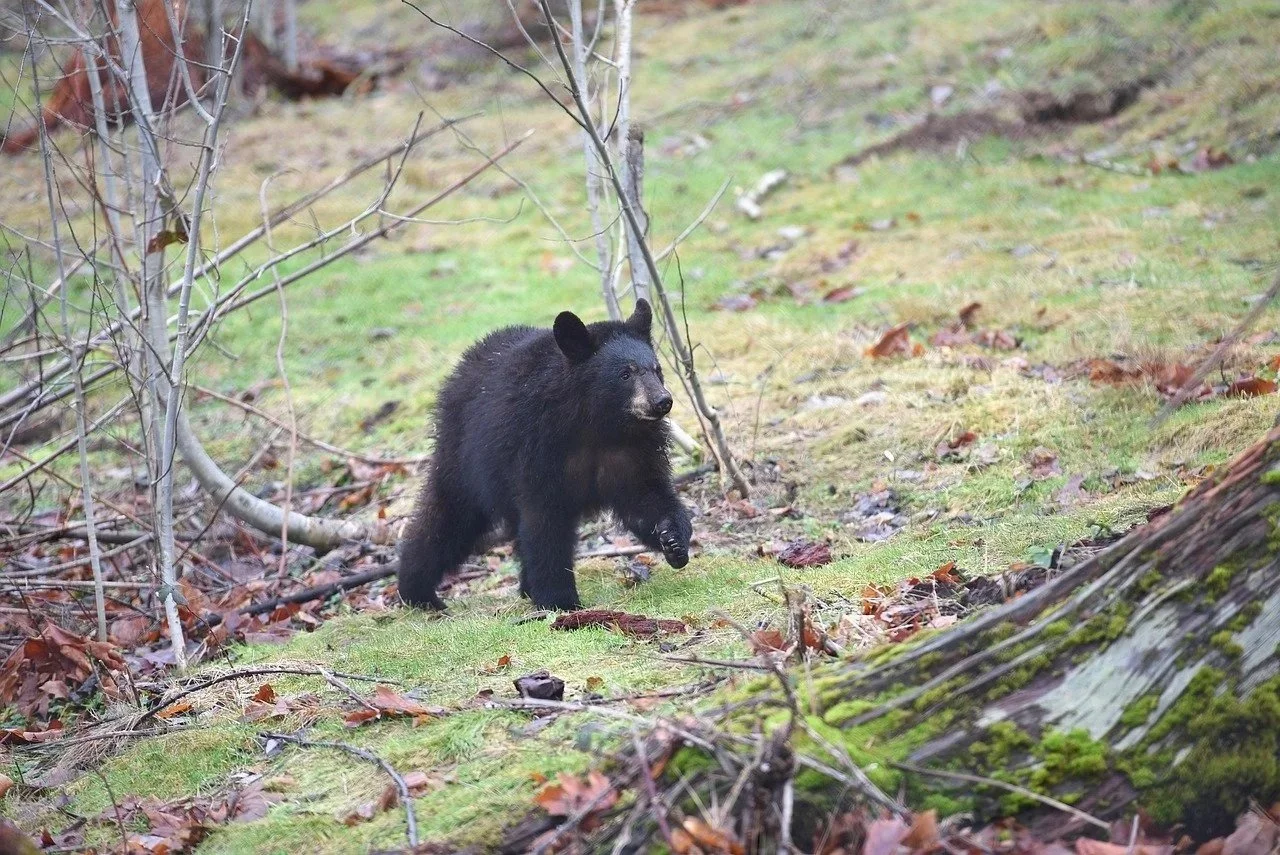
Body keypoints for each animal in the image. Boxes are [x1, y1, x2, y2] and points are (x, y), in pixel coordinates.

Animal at [397, 299, 693, 611]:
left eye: (656, 369)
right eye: (625, 373)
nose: (662, 401)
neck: (597, 425)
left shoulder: (632, 451)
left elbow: (645, 496)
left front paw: (673, 540)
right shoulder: (537, 450)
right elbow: (545, 523)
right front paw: (560, 600)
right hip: (464, 457)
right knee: (448, 519)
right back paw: (417, 591)